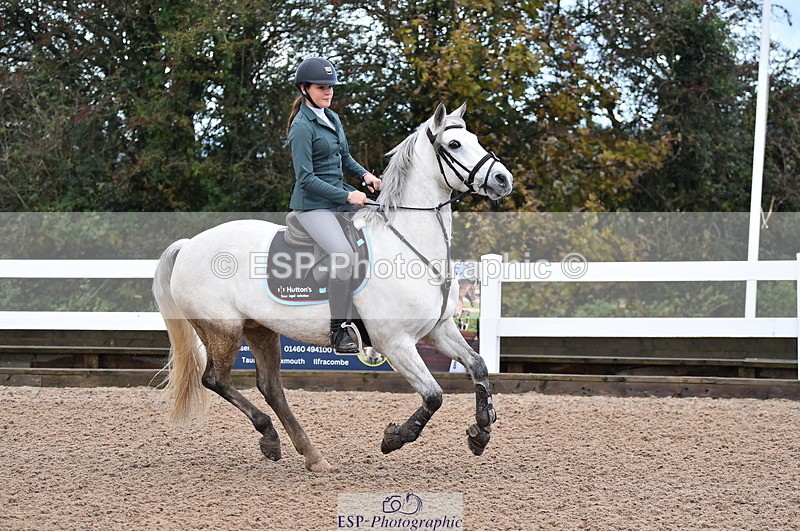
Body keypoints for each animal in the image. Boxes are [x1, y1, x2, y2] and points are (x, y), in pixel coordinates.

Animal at [152, 102, 513, 471]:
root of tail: (189, 246)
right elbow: (433, 395)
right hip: (222, 331)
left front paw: (481, 431)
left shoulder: (438, 330)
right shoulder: (395, 342)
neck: (408, 244)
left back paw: (308, 453)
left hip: (259, 329)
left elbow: (479, 366)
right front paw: (394, 438)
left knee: (270, 386)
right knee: (216, 380)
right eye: (454, 144)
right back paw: (270, 435)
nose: (503, 179)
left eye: (474, 138)